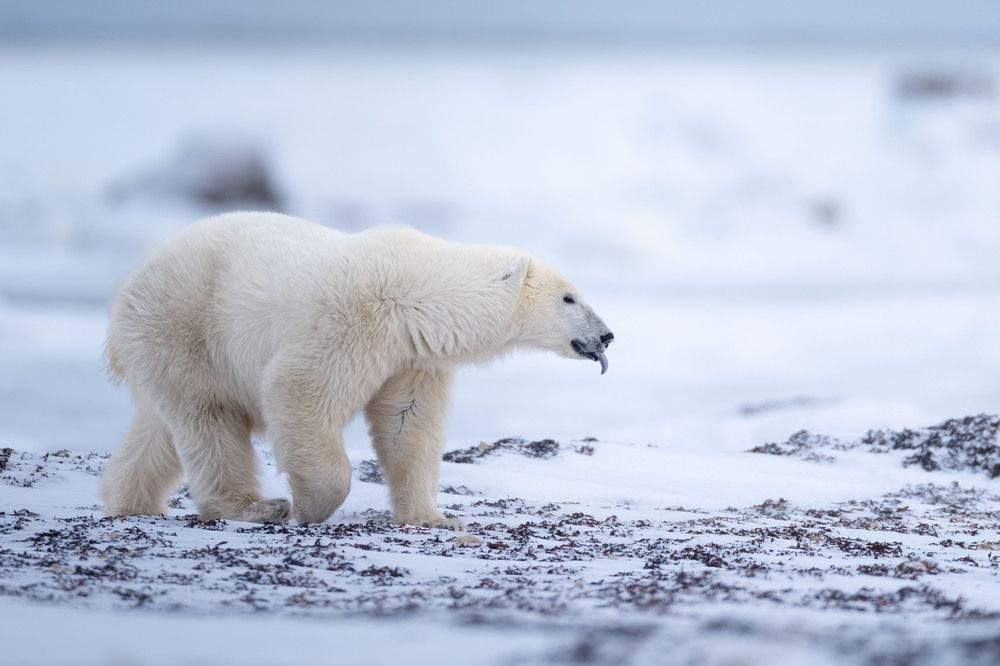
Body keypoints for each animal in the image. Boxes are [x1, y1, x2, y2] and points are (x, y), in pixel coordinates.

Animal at [100, 212, 614, 527]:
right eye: (569, 297)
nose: (607, 336)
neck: (415, 295)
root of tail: (129, 285)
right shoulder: (351, 320)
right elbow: (296, 390)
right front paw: (311, 505)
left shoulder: (412, 356)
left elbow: (409, 424)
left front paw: (434, 516)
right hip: (187, 324)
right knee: (210, 418)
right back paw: (256, 506)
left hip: (165, 346)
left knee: (162, 427)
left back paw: (128, 501)